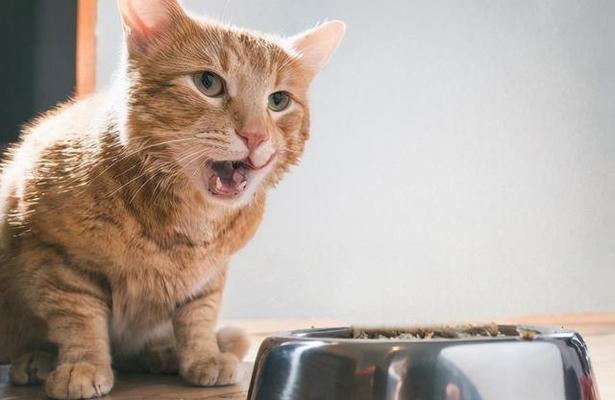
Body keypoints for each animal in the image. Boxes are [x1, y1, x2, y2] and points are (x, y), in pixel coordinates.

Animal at [0, 1, 344, 398]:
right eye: (208, 83)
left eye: (278, 100)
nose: (256, 136)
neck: (187, 224)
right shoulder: (58, 257)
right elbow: (79, 318)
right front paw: (82, 364)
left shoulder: (210, 274)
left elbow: (199, 315)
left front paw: (202, 356)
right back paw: (35, 360)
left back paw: (161, 353)